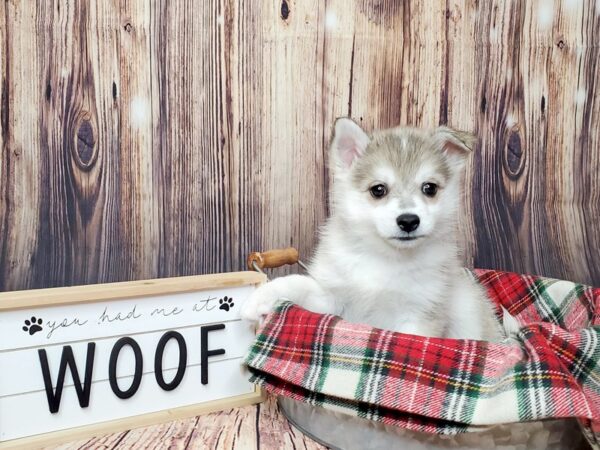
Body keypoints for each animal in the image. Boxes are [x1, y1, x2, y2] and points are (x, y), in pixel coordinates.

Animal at [241, 118, 512, 340]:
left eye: (430, 188)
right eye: (378, 190)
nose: (408, 221)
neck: (385, 258)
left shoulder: (420, 314)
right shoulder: (332, 299)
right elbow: (298, 283)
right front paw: (259, 298)